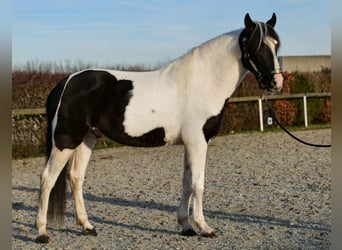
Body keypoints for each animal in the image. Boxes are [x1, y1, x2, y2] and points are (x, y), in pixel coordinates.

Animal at [34, 12, 284, 243]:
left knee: (76, 177)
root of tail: (66, 82)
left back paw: (87, 226)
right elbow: (198, 183)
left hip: (87, 138)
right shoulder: (198, 142)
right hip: (66, 140)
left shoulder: (190, 144)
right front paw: (204, 227)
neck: (202, 82)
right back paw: (42, 232)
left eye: (276, 44)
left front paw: (186, 226)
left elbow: (186, 183)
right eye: (256, 46)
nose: (276, 82)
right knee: (48, 178)